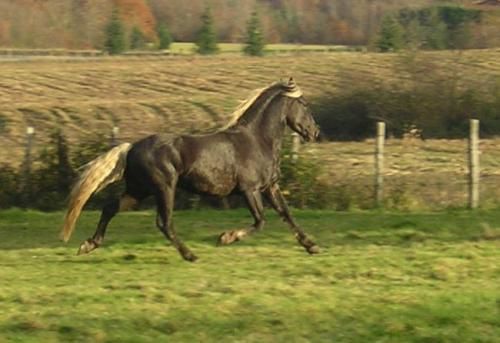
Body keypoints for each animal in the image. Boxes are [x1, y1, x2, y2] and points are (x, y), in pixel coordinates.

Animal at [61, 78, 320, 262]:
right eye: (305, 104)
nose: (315, 133)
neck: (256, 140)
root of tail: (131, 147)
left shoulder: (269, 187)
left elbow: (286, 214)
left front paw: (312, 246)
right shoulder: (250, 190)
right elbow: (260, 221)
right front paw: (224, 238)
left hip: (138, 190)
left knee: (110, 208)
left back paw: (88, 245)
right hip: (164, 188)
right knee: (164, 222)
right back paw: (191, 255)